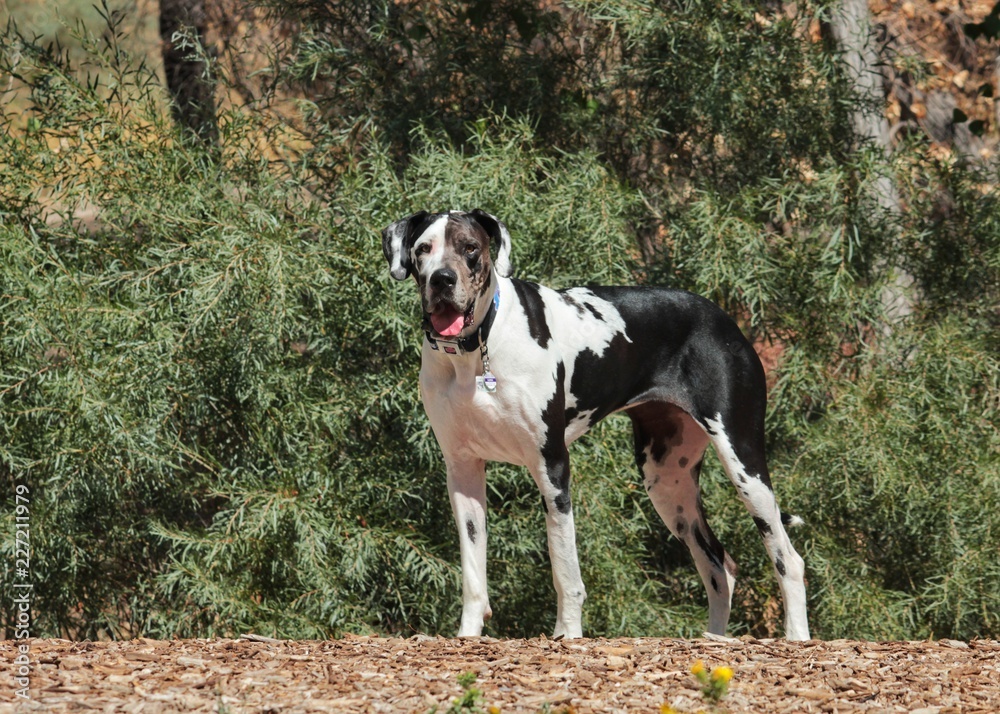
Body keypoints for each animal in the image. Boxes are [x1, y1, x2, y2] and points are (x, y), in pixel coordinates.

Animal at [382, 207, 812, 640]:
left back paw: (796, 637)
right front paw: (468, 635)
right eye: (423, 249)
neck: (478, 349)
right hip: (668, 481)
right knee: (719, 567)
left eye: (470, 247)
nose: (442, 279)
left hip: (744, 463)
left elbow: (565, 568)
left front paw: (567, 635)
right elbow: (473, 569)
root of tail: (724, 319)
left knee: (788, 559)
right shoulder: (462, 470)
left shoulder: (553, 467)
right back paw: (715, 639)